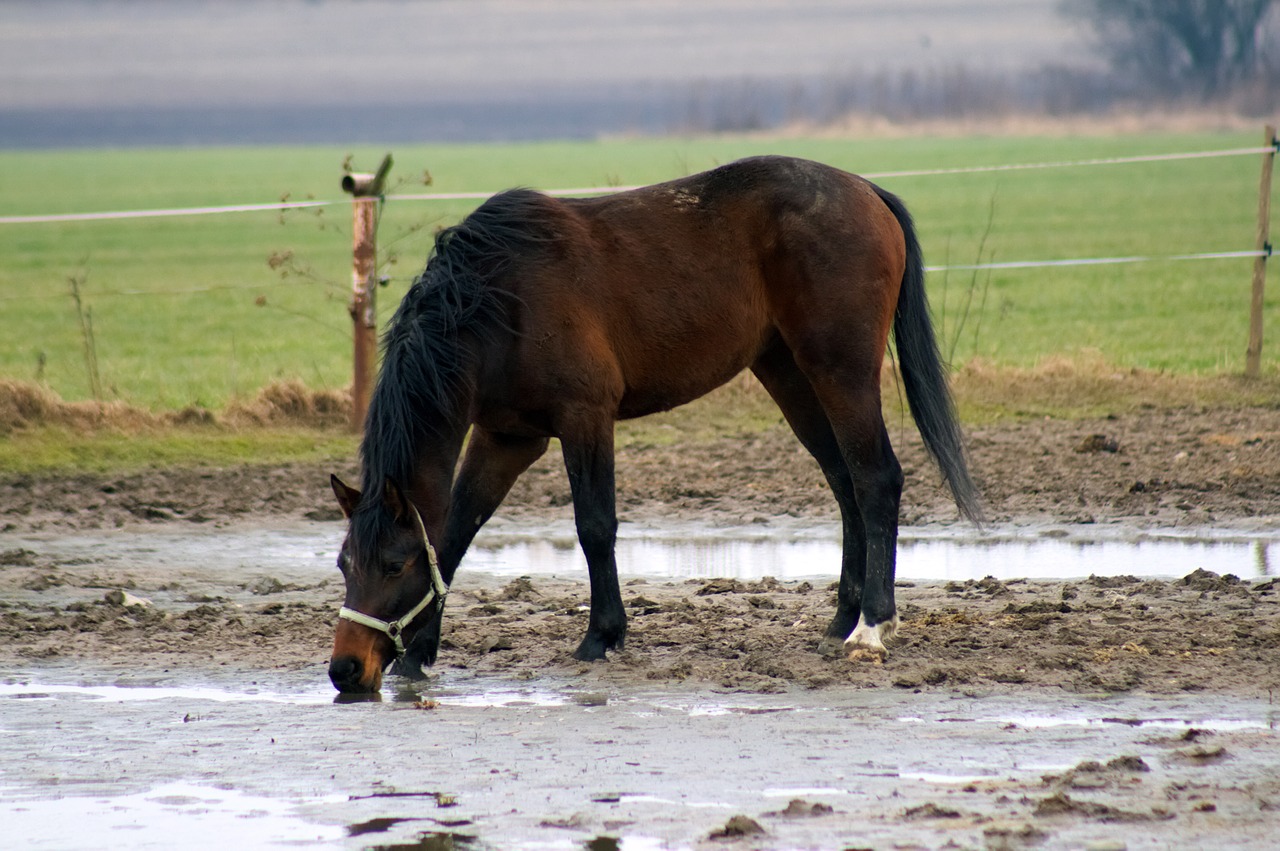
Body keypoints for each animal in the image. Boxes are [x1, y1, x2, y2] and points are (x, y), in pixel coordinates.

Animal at [327, 156, 977, 696]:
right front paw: (420, 655)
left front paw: (601, 636)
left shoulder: (585, 418)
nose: (346, 669)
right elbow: (457, 534)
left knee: (875, 479)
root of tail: (866, 190)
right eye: (343, 563)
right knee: (845, 484)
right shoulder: (506, 437)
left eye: (393, 564)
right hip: (789, 374)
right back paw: (840, 620)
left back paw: (871, 627)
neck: (498, 302)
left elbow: (594, 526)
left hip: (841, 371)